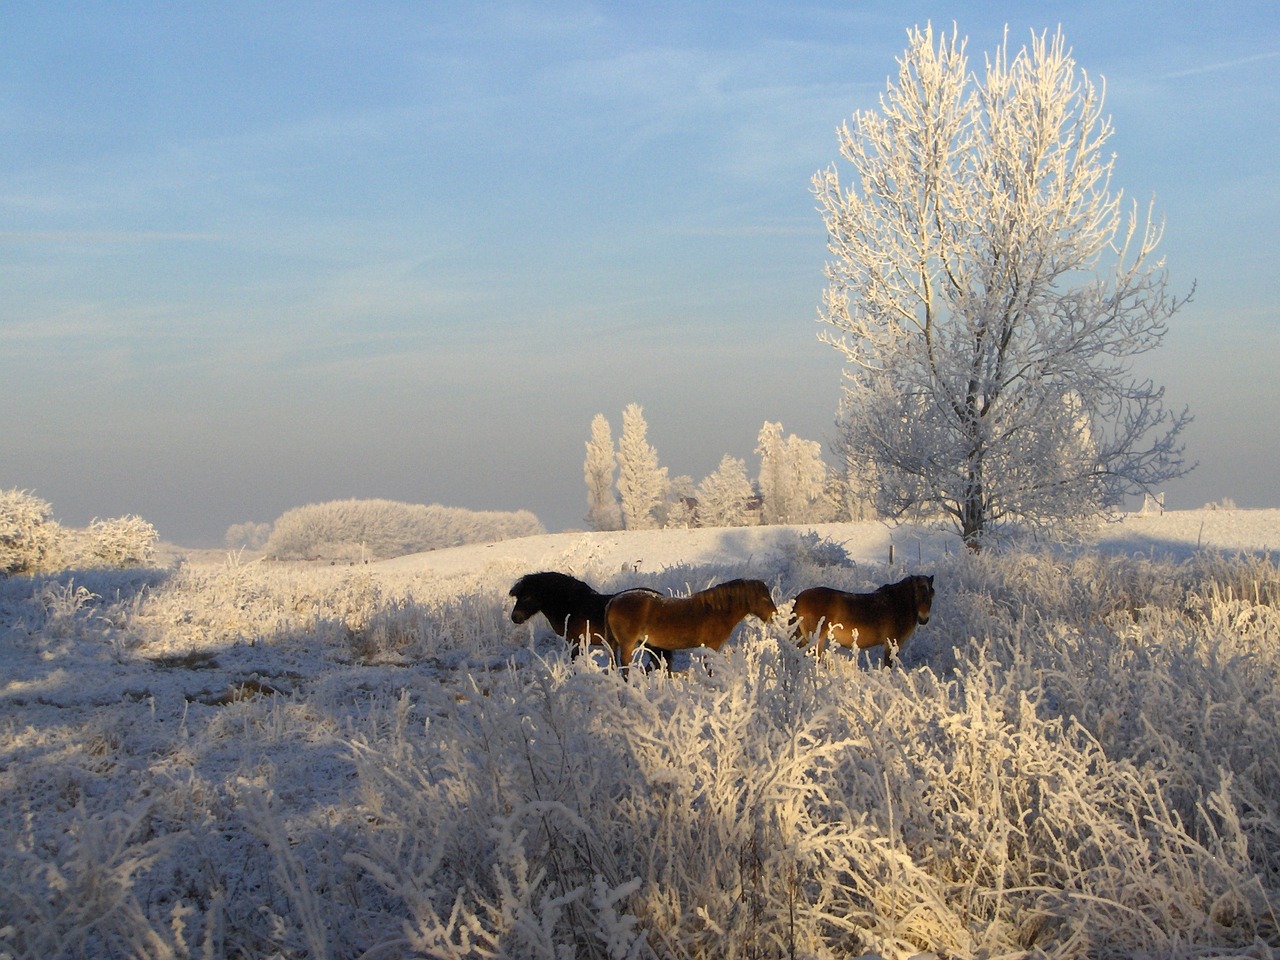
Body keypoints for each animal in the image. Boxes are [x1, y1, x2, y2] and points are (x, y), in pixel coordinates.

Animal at [601, 578, 773, 675]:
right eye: (764, 598)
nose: (774, 615)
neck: (715, 610)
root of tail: (614, 600)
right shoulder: (711, 646)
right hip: (628, 644)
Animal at [788, 576, 931, 665]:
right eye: (917, 594)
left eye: (931, 595)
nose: (924, 619)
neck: (897, 603)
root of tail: (799, 598)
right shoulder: (891, 644)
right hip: (816, 640)